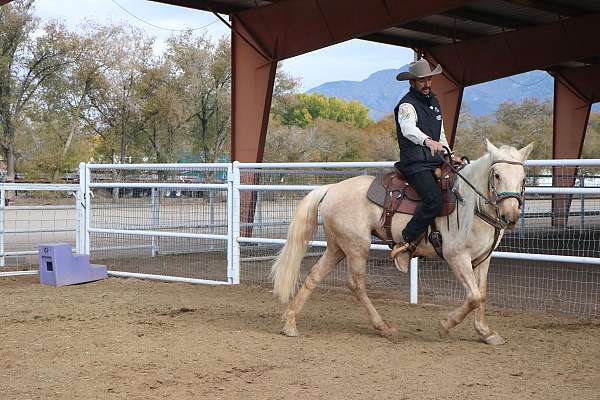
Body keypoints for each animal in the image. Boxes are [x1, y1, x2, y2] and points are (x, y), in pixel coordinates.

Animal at [270, 141, 532, 344]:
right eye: (497, 175)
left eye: (523, 177)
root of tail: (331, 188)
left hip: (337, 246)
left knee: (314, 275)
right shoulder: (456, 256)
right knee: (356, 284)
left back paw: (290, 323)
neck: (469, 204)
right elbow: (474, 296)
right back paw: (383, 327)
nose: (510, 217)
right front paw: (445, 326)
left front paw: (485, 332)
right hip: (357, 246)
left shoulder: (482, 259)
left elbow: (481, 294)